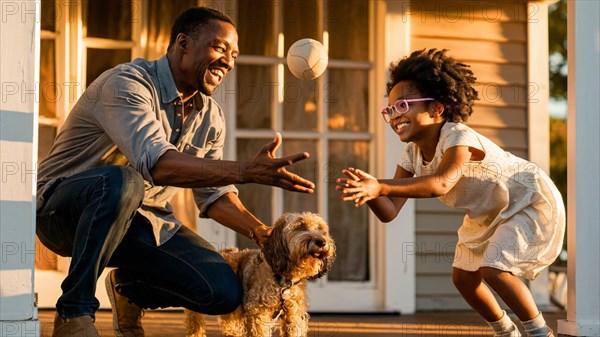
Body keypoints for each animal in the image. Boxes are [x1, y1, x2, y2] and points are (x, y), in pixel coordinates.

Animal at [183, 211, 336, 334]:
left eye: (320, 229)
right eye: (300, 226)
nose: (322, 242)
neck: (282, 281)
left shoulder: (293, 317)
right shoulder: (258, 315)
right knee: (194, 324)